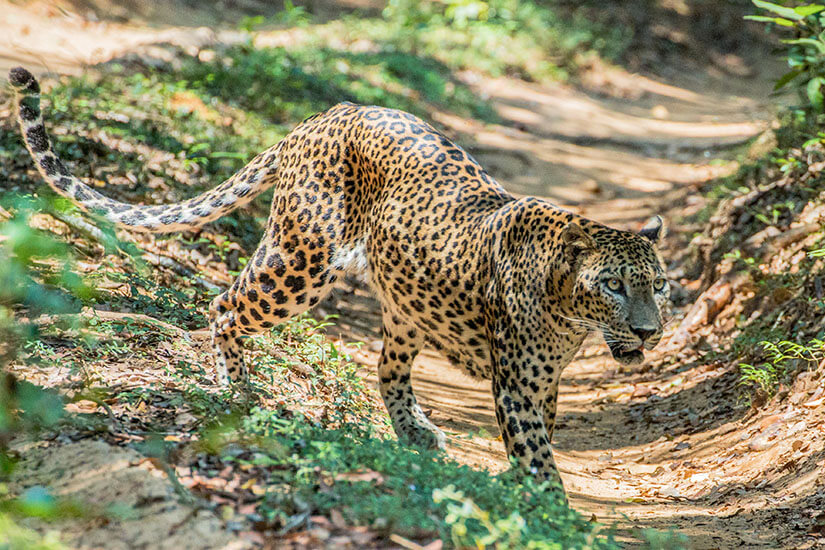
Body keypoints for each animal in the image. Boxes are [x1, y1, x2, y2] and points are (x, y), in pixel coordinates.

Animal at [9, 66, 670, 492]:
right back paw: (237, 390)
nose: (650, 331)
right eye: (612, 285)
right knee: (224, 305)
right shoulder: (519, 385)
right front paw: (551, 512)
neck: (569, 314)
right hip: (297, 259)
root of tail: (328, 113)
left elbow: (542, 446)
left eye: (658, 286)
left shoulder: (546, 381)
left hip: (404, 308)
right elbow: (536, 455)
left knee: (386, 367)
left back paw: (415, 431)